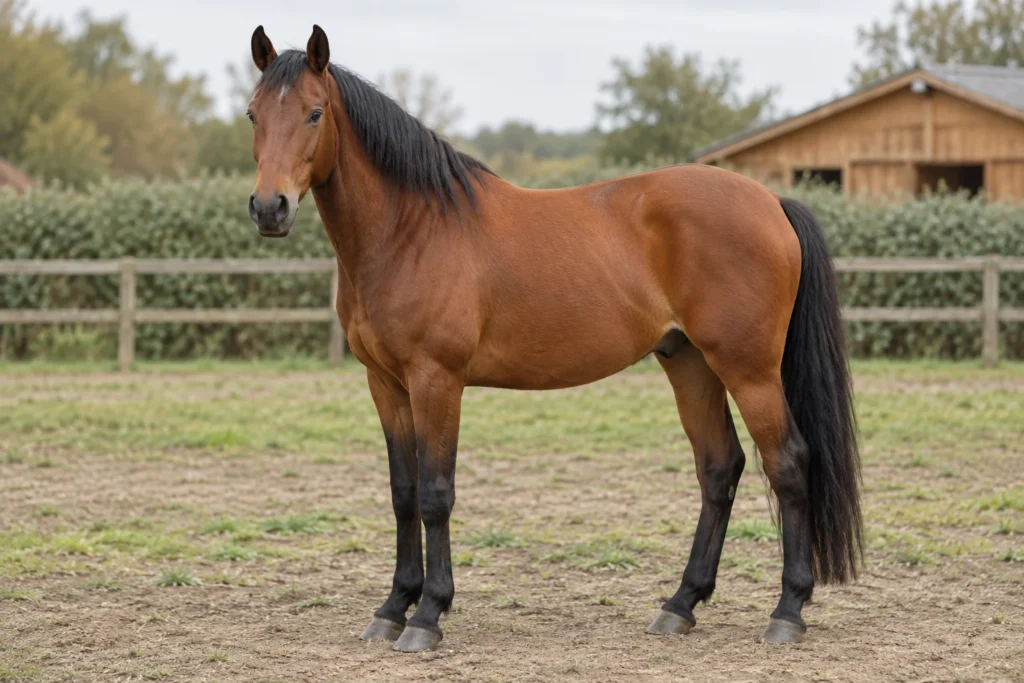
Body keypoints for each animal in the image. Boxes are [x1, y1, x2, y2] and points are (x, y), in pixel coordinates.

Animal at [244, 24, 862, 653]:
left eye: (315, 112)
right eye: (252, 115)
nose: (270, 208)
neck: (409, 230)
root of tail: (771, 203)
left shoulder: (436, 380)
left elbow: (436, 493)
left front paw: (428, 615)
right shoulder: (385, 384)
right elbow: (403, 493)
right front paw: (393, 607)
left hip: (748, 369)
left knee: (788, 464)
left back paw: (786, 611)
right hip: (690, 364)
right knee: (719, 468)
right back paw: (680, 604)